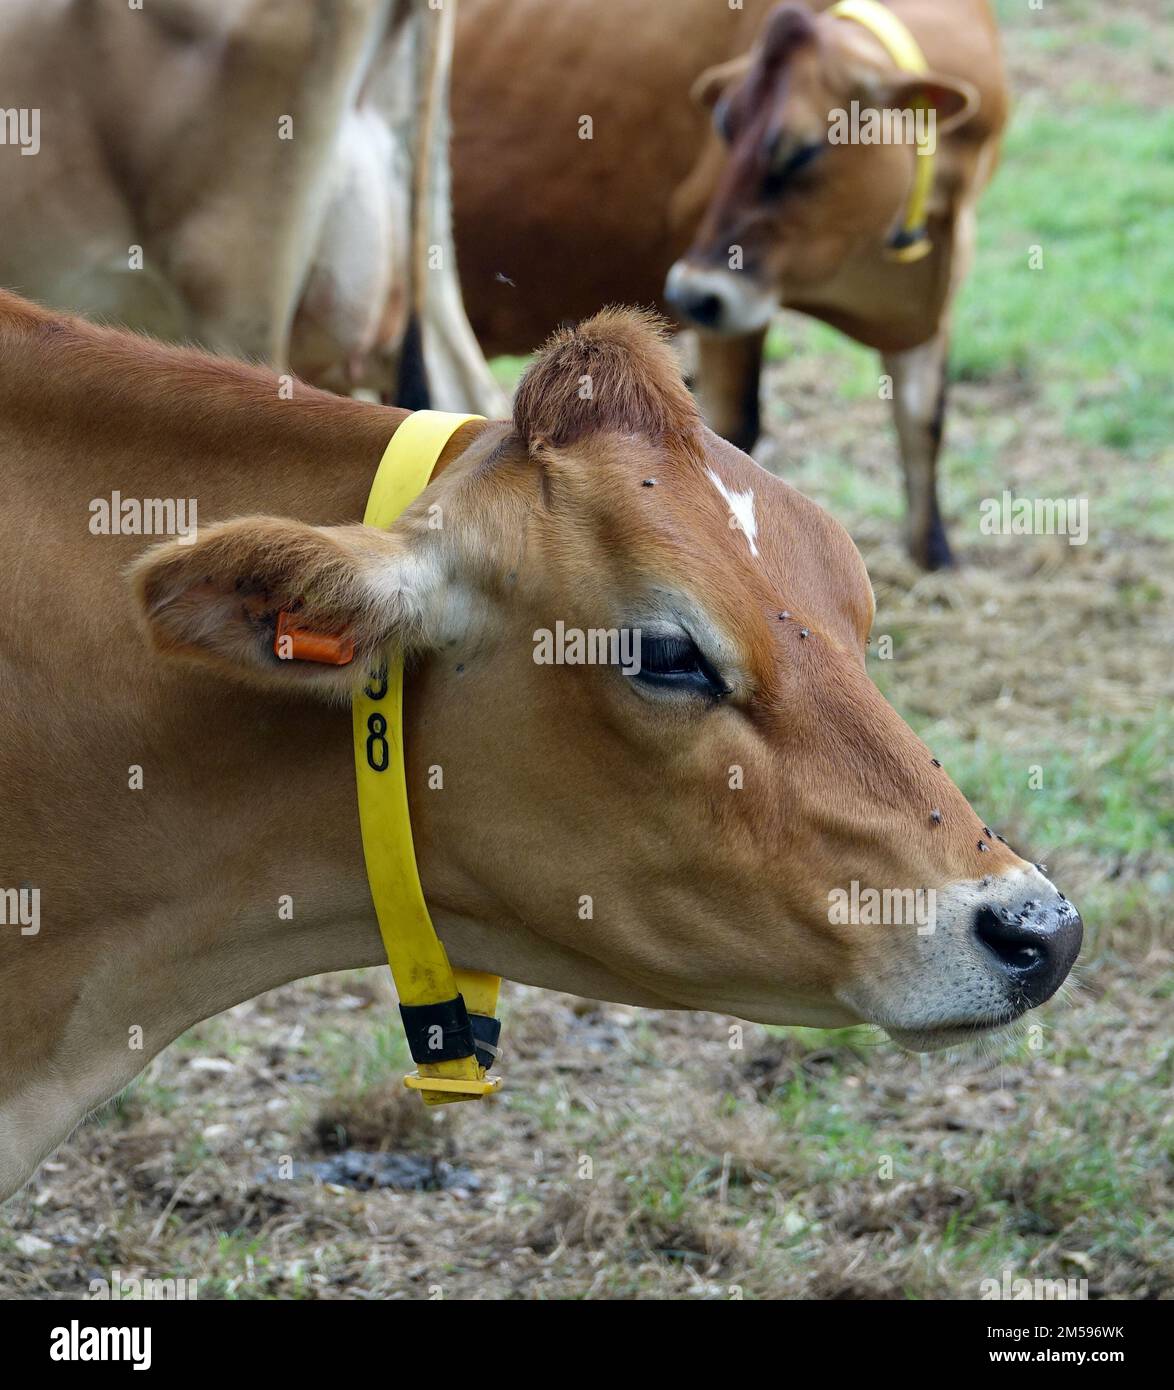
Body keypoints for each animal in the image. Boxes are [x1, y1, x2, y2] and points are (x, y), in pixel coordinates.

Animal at [451, 0, 1008, 568]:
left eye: (802, 150)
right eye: (723, 127)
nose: (687, 292)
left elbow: (923, 419)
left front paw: (934, 555)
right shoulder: (727, 305)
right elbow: (730, 430)